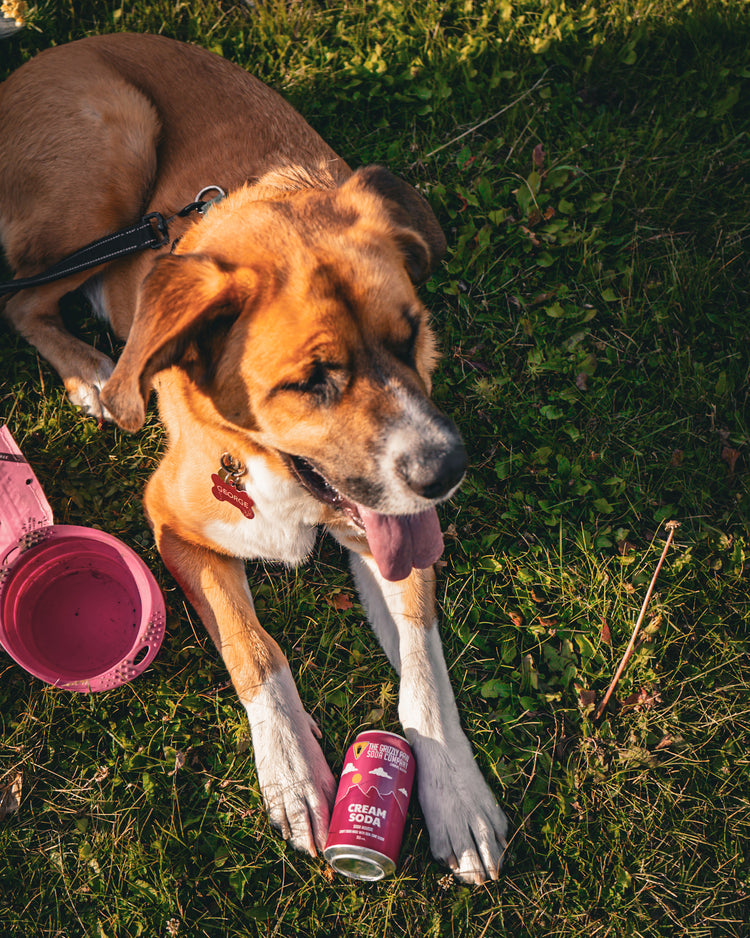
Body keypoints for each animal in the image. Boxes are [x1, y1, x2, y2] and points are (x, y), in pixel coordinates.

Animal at [0, 34, 508, 876]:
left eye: (413, 335)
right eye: (311, 381)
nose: (446, 473)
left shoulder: (392, 536)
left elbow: (424, 667)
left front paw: (456, 797)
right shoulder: (172, 523)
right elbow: (253, 646)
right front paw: (295, 777)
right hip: (114, 137)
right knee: (21, 301)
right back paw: (93, 374)